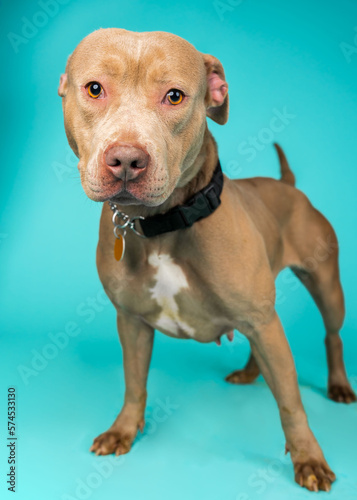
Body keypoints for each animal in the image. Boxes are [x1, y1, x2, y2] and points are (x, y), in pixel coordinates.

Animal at [57, 28, 354, 492]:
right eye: (94, 89)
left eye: (175, 96)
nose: (126, 159)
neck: (162, 227)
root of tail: (288, 186)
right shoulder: (132, 321)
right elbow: (134, 382)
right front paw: (124, 430)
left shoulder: (265, 322)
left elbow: (290, 401)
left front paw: (309, 458)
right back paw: (250, 373)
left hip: (325, 287)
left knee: (332, 335)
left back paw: (338, 385)